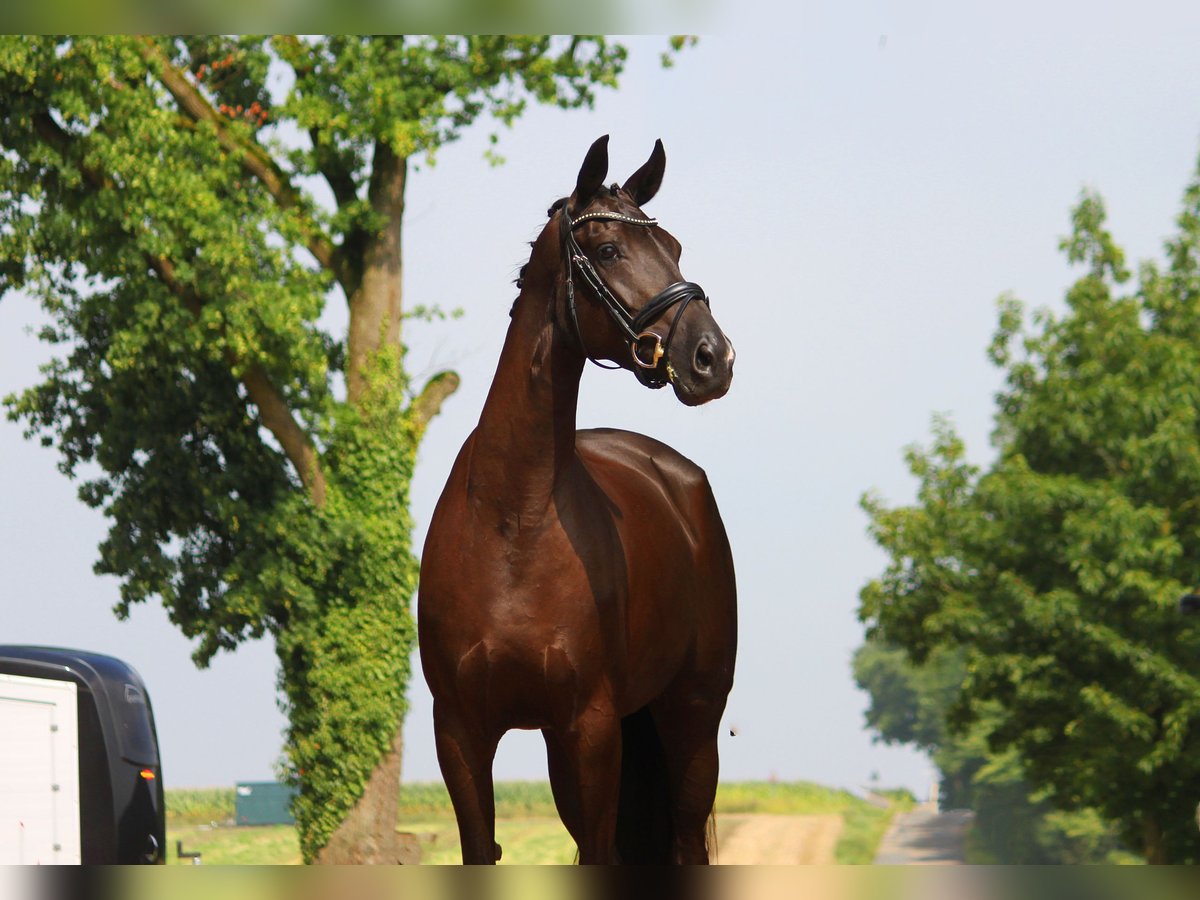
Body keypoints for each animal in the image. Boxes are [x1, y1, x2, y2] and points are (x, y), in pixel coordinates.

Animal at [422, 135, 739, 868]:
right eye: (609, 250)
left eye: (674, 247)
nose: (712, 357)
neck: (514, 520)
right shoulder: (460, 731)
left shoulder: (591, 728)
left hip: (692, 717)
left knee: (686, 840)